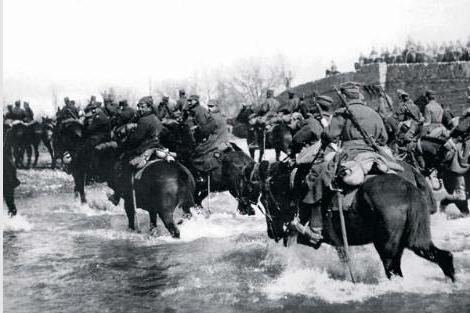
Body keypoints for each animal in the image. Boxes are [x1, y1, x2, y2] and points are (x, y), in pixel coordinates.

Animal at [246, 161, 456, 280]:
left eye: (265, 200)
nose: (271, 233)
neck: (296, 187)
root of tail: (408, 190)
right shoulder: (338, 242)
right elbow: (345, 258)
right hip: (416, 241)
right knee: (443, 256)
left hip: (388, 250)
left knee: (394, 270)